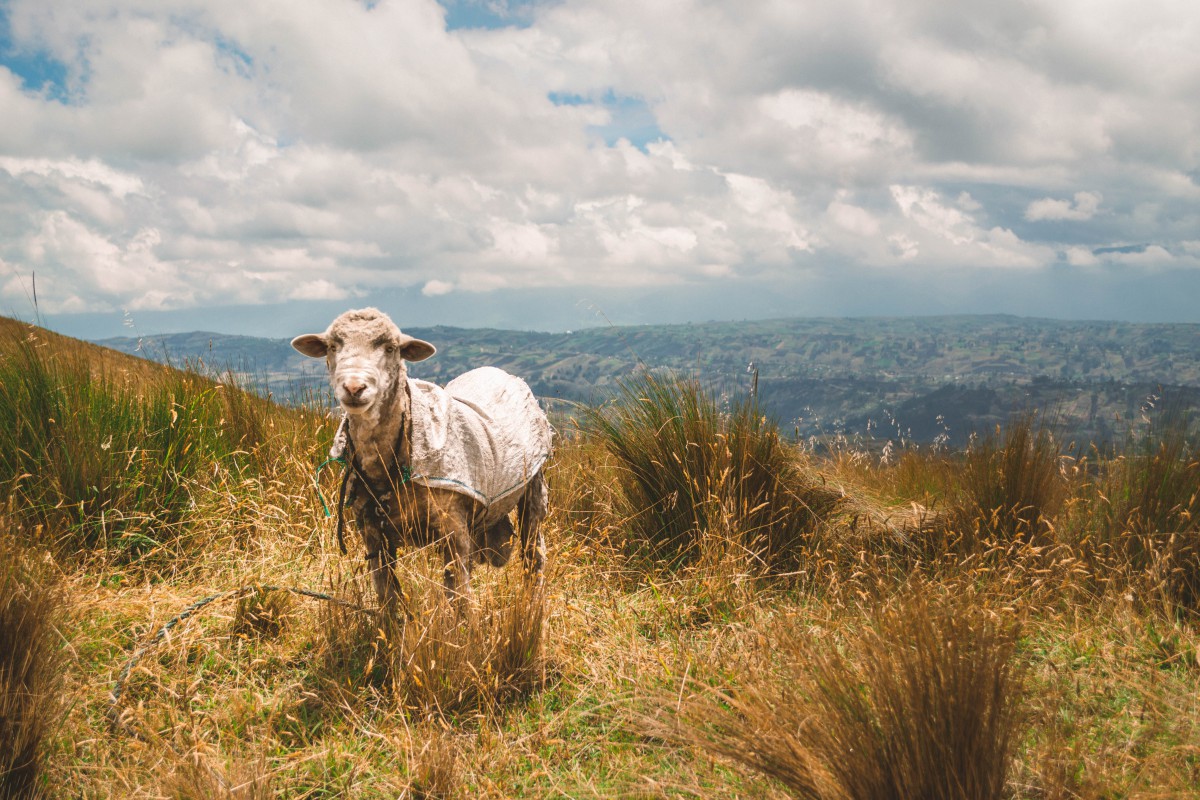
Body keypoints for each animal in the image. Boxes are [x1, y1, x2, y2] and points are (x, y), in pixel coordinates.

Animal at [290, 309, 552, 609]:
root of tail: (497, 371)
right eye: (333, 346)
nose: (354, 388)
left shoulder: (453, 528)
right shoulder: (372, 533)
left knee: (534, 554)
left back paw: (533, 605)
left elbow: (460, 599)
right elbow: (387, 594)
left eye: (391, 348)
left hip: (534, 488)